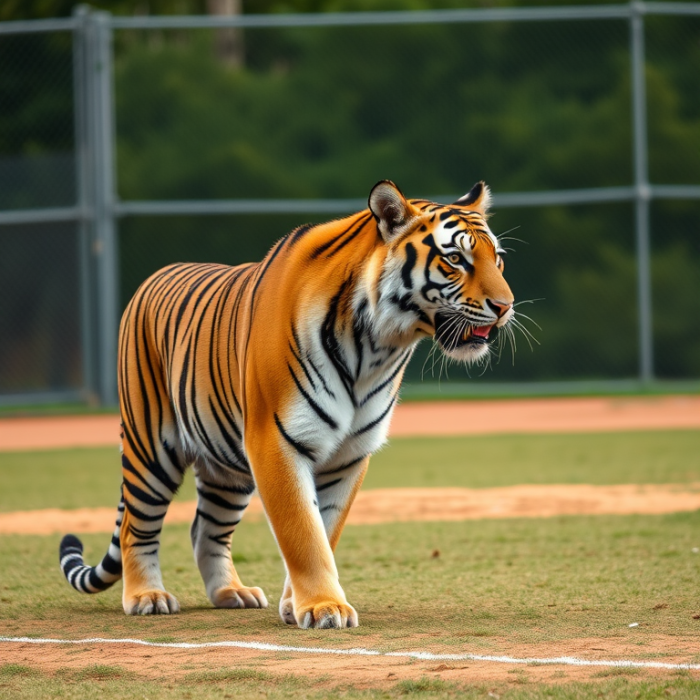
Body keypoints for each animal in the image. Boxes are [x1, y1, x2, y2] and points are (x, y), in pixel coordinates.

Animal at [58, 180, 516, 628]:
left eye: (498, 259)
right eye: (455, 259)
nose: (505, 306)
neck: (376, 348)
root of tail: (153, 277)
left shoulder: (350, 454)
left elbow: (326, 528)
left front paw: (298, 605)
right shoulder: (276, 442)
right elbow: (303, 532)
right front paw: (323, 607)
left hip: (227, 470)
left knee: (205, 531)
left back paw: (231, 593)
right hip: (151, 447)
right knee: (137, 526)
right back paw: (147, 597)